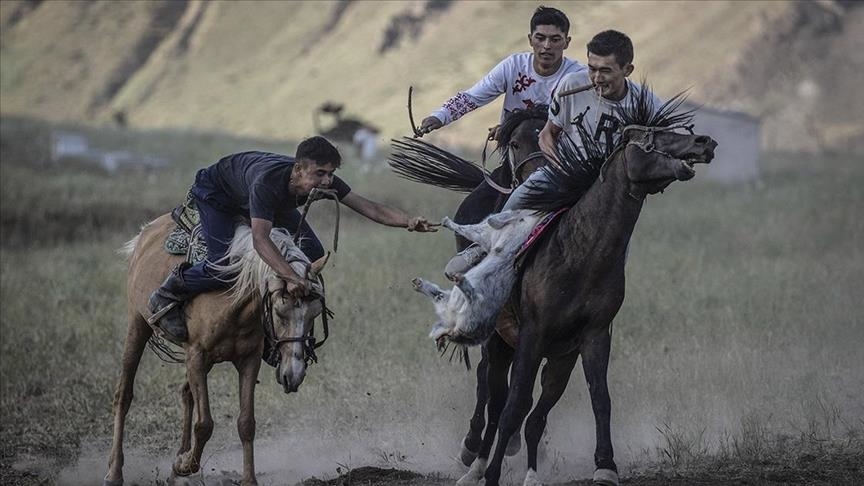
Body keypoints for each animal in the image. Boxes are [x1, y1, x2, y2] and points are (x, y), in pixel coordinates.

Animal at [101, 216, 330, 486]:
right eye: (279, 310)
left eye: (315, 314)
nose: (293, 375)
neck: (233, 302)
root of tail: (147, 231)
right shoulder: (197, 356)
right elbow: (204, 424)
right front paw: (185, 465)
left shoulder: (248, 361)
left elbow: (246, 423)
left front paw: (247, 480)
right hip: (138, 324)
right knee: (123, 395)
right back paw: (115, 472)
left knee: (186, 393)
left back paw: (176, 467)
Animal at [436, 92, 720, 486]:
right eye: (651, 136)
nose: (703, 142)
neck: (579, 255)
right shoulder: (533, 336)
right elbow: (514, 406)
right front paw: (491, 472)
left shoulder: (585, 341)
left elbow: (590, 400)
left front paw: (604, 466)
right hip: (500, 343)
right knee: (493, 395)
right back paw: (475, 463)